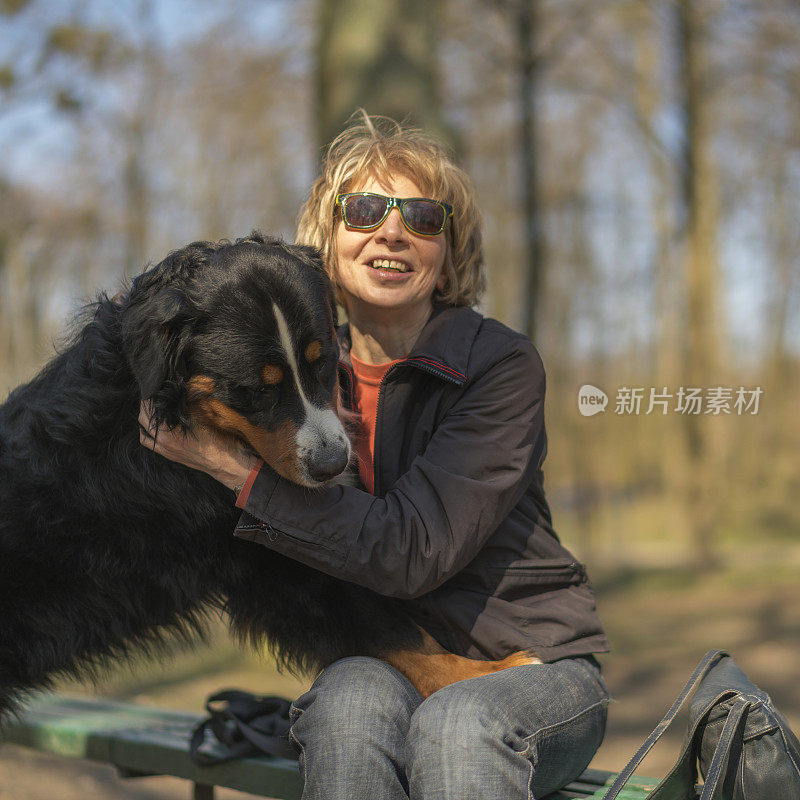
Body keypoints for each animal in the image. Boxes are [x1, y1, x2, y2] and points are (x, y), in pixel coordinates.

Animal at [1, 233, 536, 720]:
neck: (152, 404)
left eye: (324, 362)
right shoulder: (268, 561)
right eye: (257, 389)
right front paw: (490, 670)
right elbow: (394, 631)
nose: (331, 464)